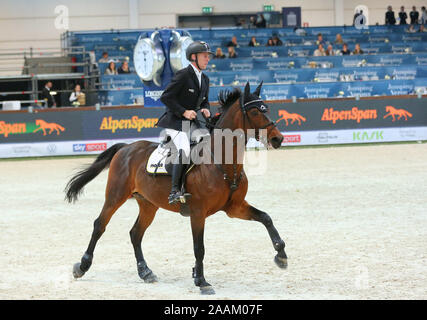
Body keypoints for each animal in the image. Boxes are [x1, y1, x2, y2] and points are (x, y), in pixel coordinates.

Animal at [66, 82, 288, 296]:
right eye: (255, 112)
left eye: (267, 108)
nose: (278, 139)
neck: (223, 164)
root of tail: (126, 148)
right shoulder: (198, 213)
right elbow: (199, 247)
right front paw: (202, 281)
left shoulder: (235, 207)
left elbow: (266, 218)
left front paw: (281, 254)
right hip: (115, 196)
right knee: (100, 225)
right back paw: (82, 266)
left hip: (148, 204)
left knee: (135, 233)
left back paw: (145, 272)